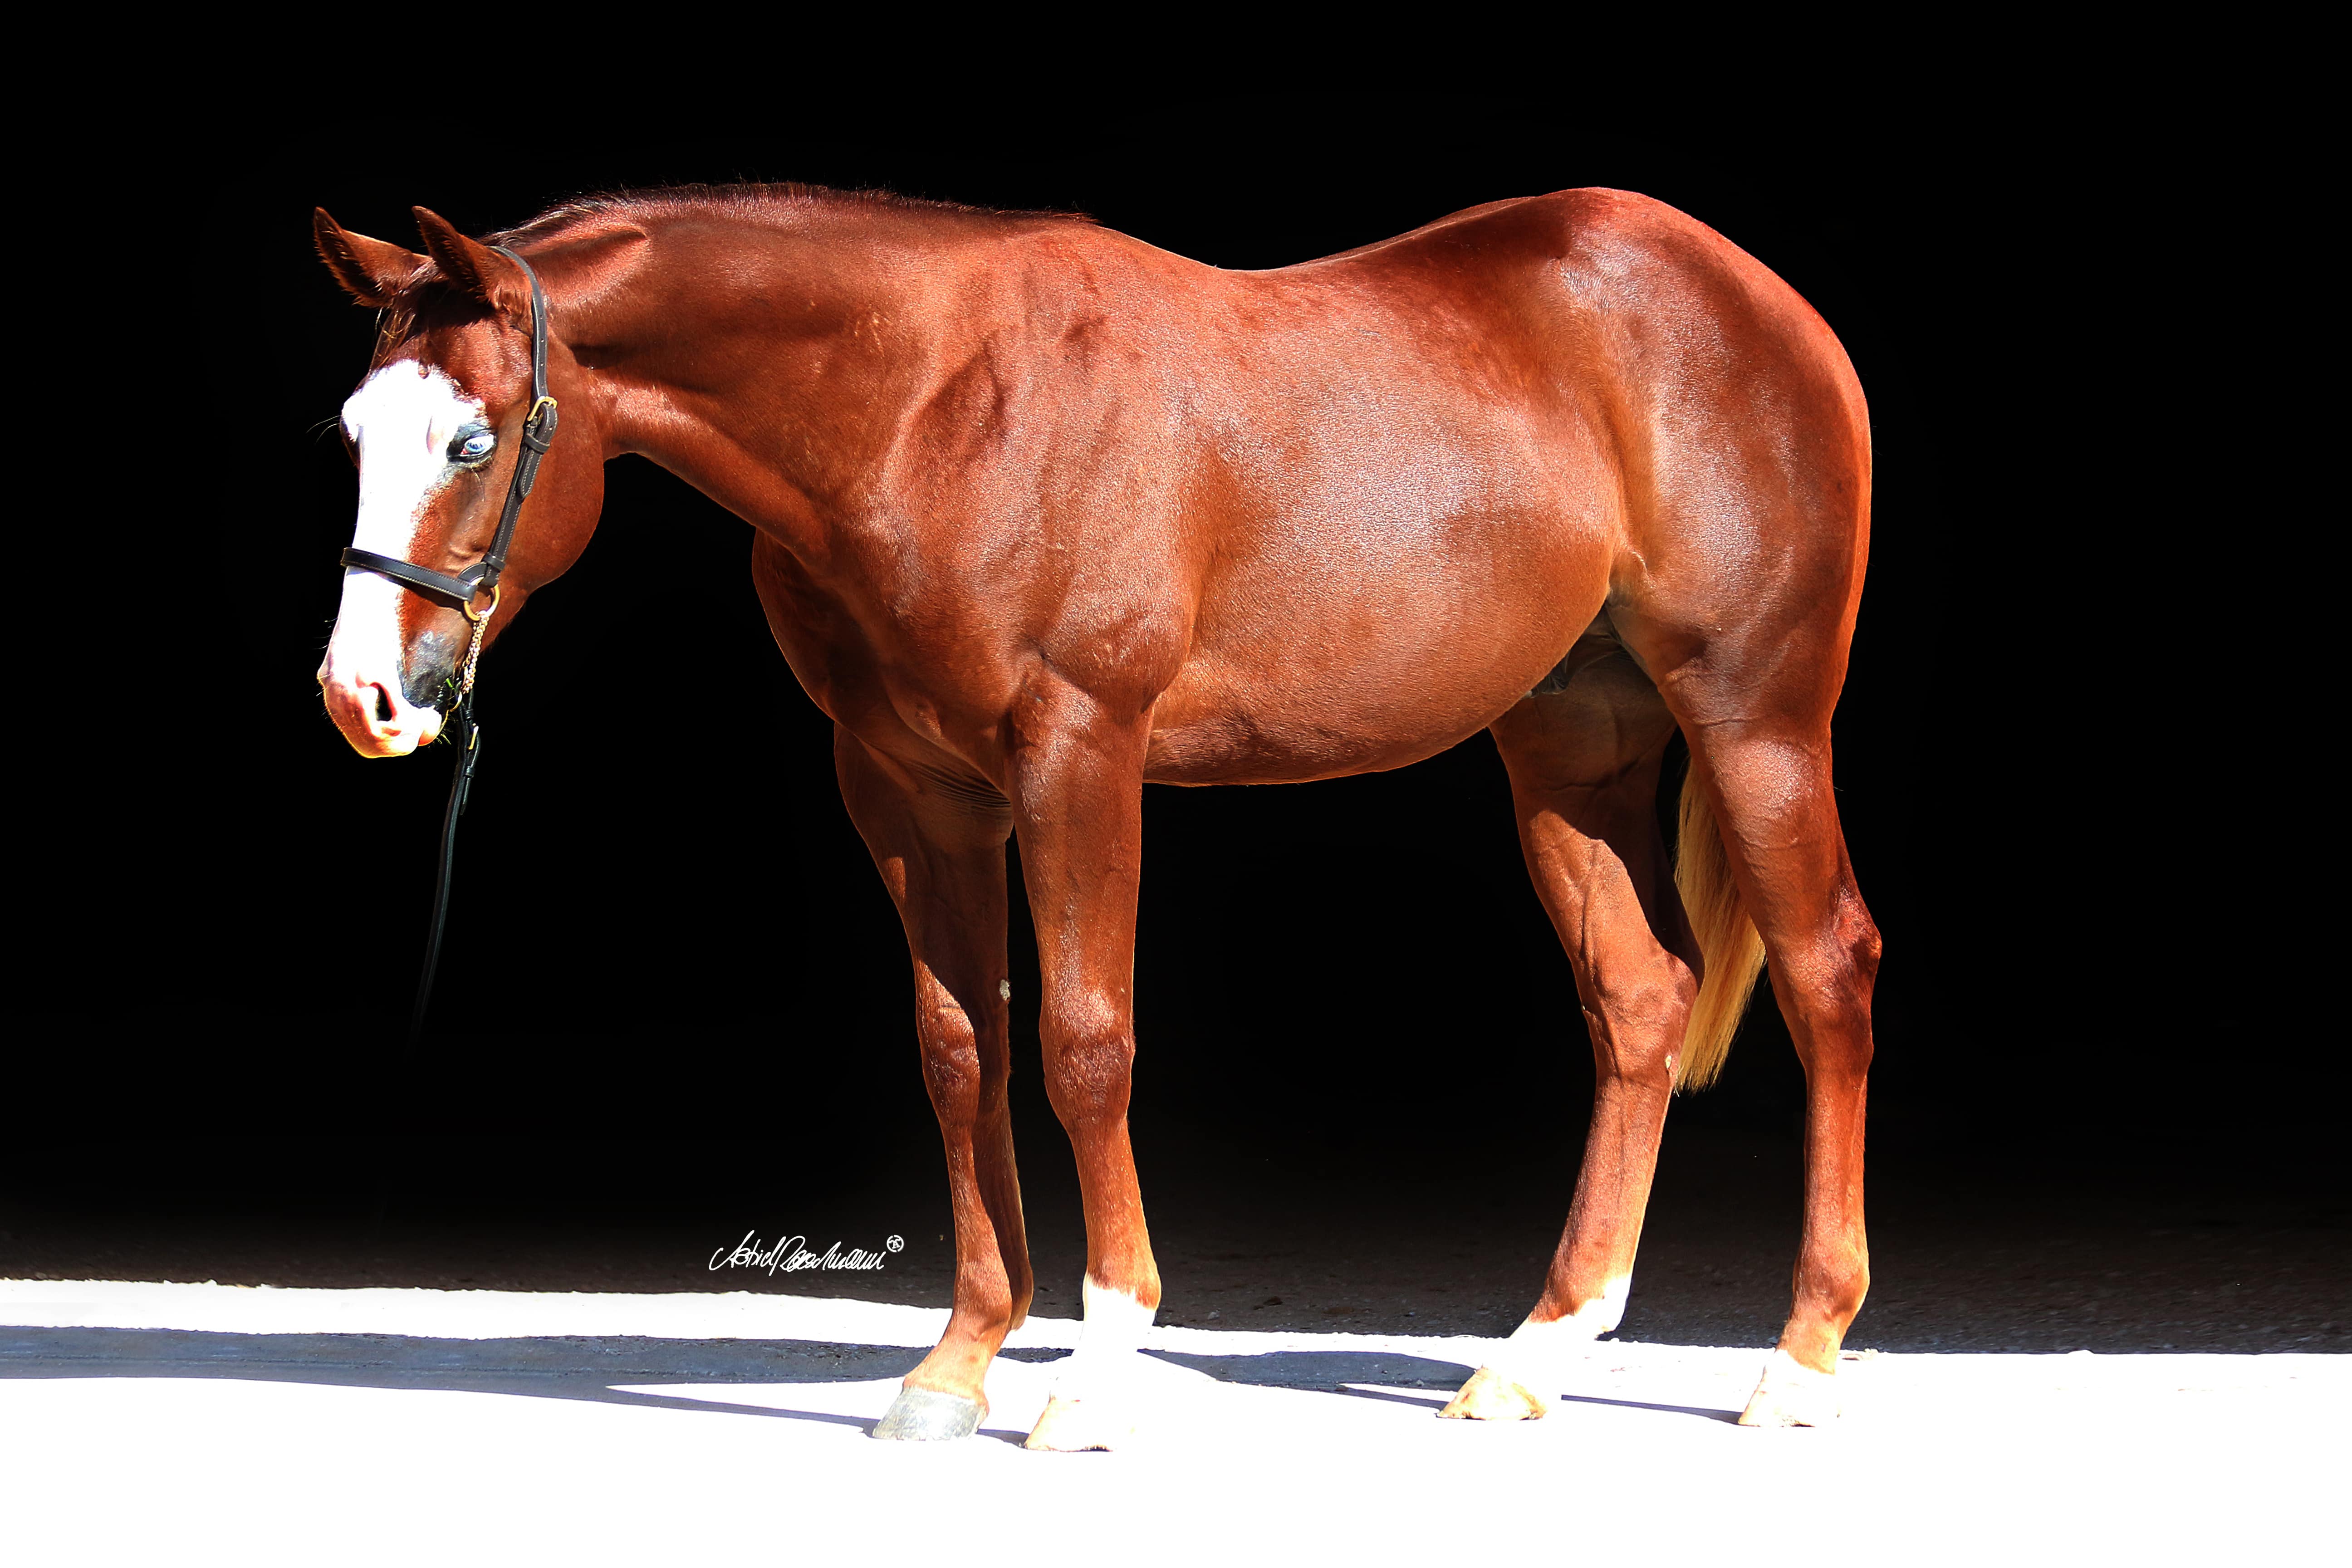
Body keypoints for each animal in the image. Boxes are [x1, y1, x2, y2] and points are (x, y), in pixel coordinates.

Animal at [312, 181, 1879, 1448]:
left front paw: (1097, 1365)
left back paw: (1800, 1361)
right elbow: (961, 1052)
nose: (361, 696)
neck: (931, 411)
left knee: (1827, 977)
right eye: (352, 431)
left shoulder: (1081, 752)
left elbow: (1083, 1047)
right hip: (1573, 745)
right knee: (1641, 1000)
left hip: (1756, 721)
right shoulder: (911, 791)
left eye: (471, 442)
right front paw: (956, 1366)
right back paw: (1535, 1355)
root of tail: (1761, 301)